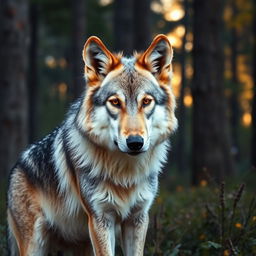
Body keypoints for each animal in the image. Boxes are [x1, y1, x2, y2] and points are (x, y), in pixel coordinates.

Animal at [7, 34, 177, 256]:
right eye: (115, 102)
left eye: (146, 101)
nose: (135, 143)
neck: (124, 174)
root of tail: (17, 167)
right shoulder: (100, 219)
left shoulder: (138, 218)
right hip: (35, 245)